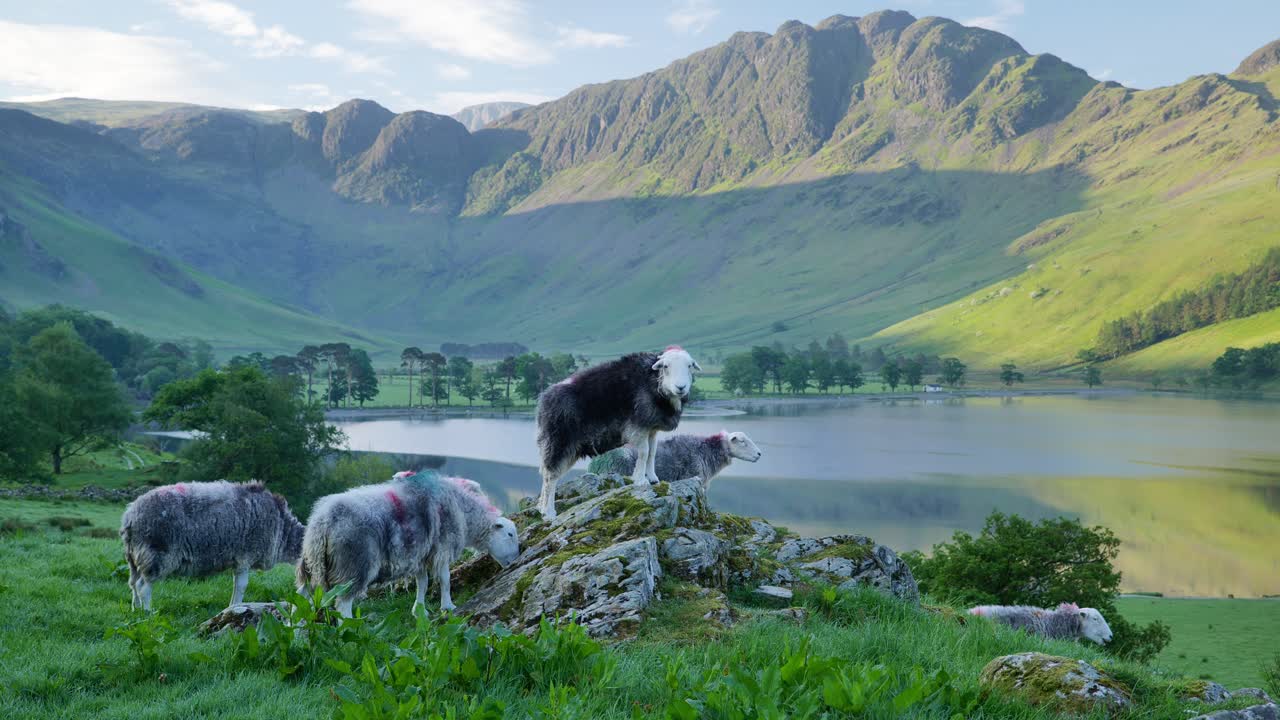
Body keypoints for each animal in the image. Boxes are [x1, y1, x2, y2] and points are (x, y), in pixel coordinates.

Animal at [120, 480, 304, 612]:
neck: (283, 530)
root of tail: (130, 515)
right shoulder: (245, 556)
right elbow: (241, 586)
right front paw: (236, 606)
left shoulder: (238, 560)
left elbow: (236, 585)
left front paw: (231, 607)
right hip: (156, 554)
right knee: (143, 586)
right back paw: (148, 613)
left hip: (134, 556)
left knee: (133, 583)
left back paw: (135, 609)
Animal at [296, 471, 519, 617]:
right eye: (510, 534)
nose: (516, 560)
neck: (464, 511)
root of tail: (323, 521)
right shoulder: (442, 548)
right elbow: (445, 580)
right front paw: (448, 607)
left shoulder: (420, 553)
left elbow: (423, 582)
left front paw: (419, 610)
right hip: (353, 565)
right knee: (343, 604)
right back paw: (349, 631)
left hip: (311, 564)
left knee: (299, 600)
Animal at [535, 345, 701, 520]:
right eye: (666, 366)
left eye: (690, 366)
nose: (681, 387)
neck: (654, 381)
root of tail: (543, 400)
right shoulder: (638, 426)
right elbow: (643, 452)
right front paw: (640, 480)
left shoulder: (651, 429)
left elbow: (652, 452)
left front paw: (653, 478)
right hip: (558, 441)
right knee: (550, 476)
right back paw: (549, 512)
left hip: (566, 448)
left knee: (546, 474)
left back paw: (541, 508)